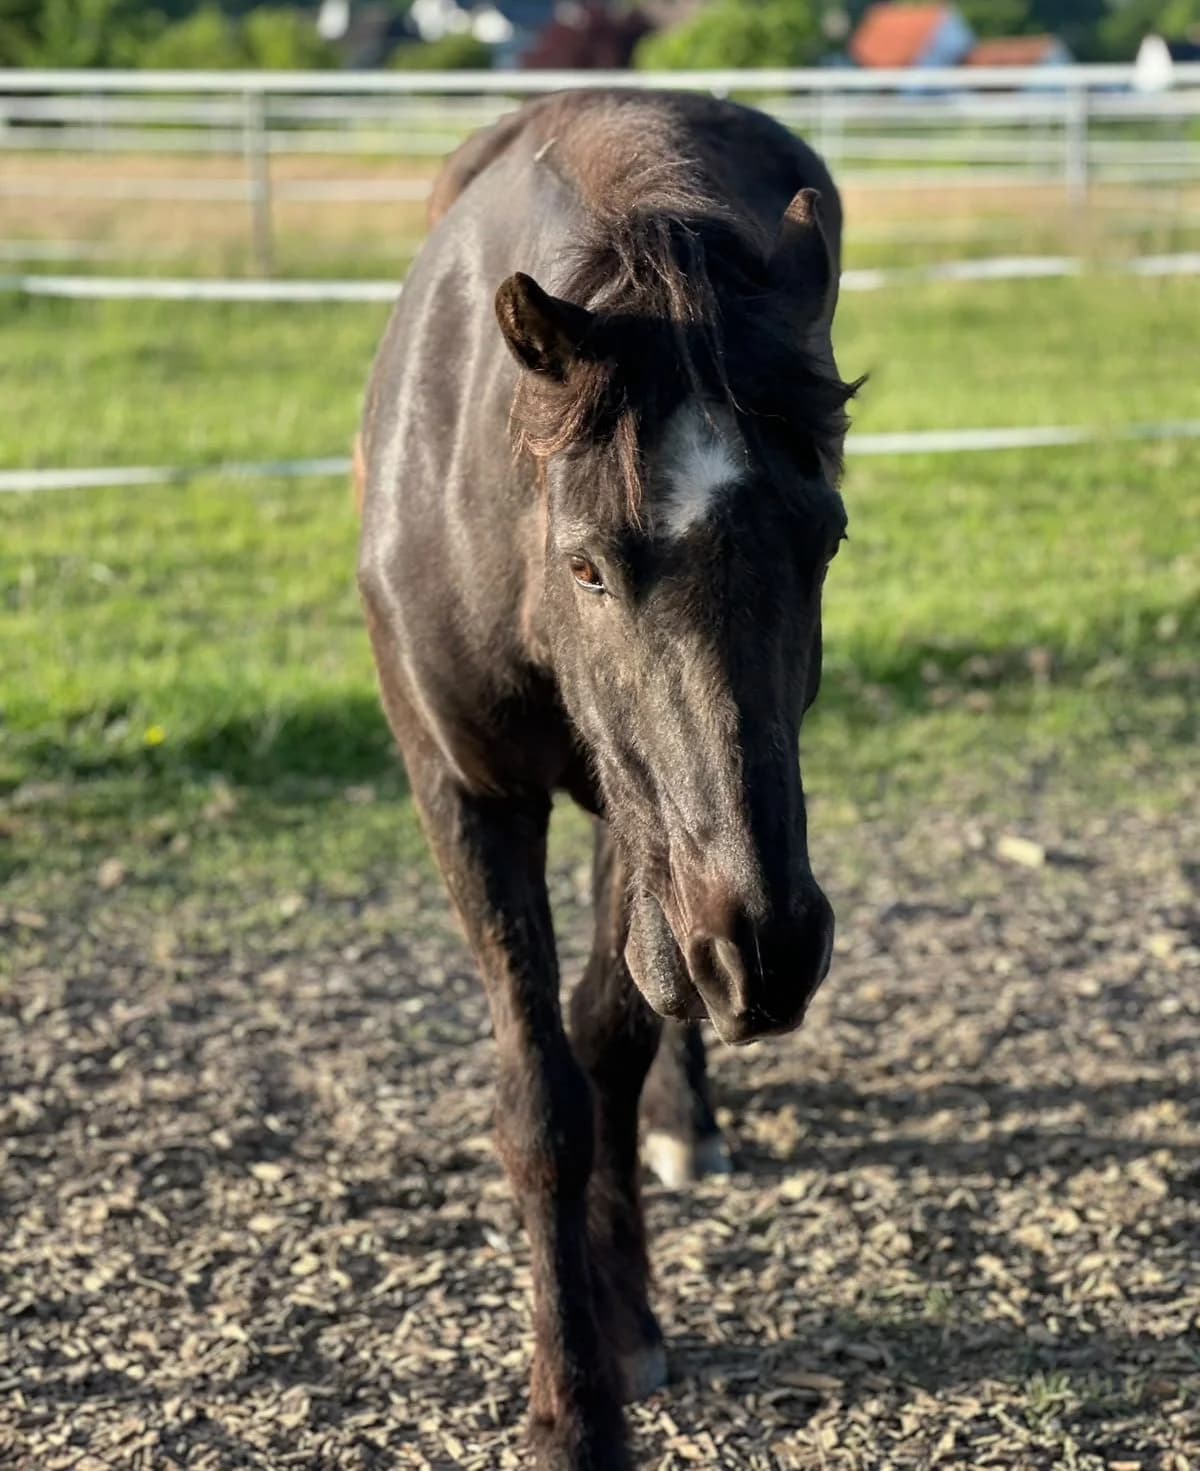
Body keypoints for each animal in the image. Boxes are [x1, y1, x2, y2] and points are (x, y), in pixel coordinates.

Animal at [358, 87, 858, 1471]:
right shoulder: (467, 796)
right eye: (588, 564)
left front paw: (624, 1321)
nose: (773, 948)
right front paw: (567, 1404)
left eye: (826, 538)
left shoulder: (650, 819)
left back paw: (693, 1118)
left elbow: (612, 1050)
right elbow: (544, 1098)